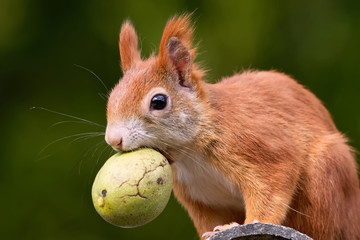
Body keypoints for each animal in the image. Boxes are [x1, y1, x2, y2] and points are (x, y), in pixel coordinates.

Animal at [104, 14, 360, 238]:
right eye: (112, 97)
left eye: (158, 102)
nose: (113, 139)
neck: (190, 154)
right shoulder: (200, 198)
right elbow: (208, 220)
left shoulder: (257, 145)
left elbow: (272, 187)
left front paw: (243, 225)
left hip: (326, 175)